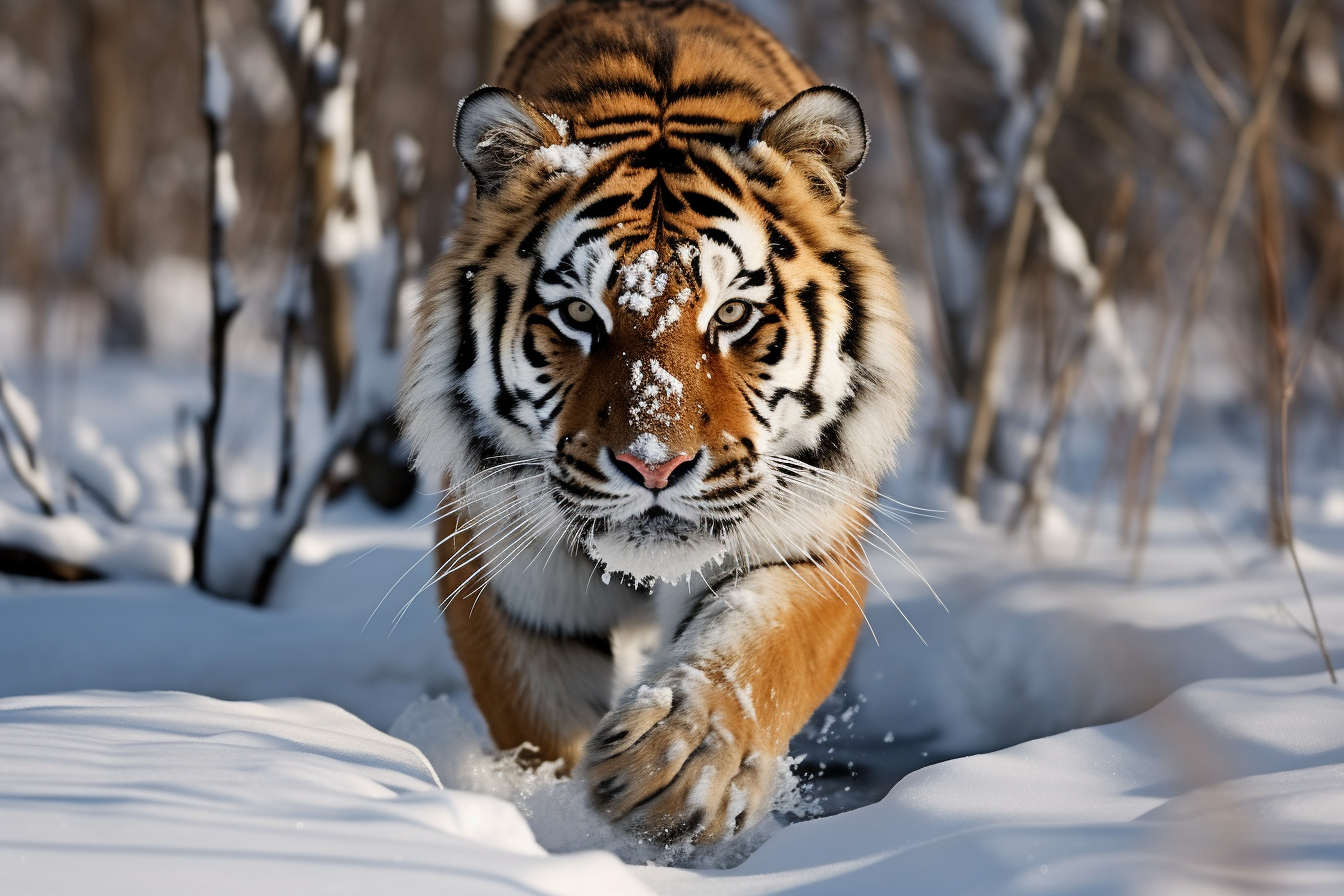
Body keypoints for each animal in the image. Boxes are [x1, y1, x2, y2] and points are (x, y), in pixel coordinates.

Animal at [397, 0, 919, 848]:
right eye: (580, 315)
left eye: (733, 315)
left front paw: (675, 764)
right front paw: (565, 829)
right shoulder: (503, 572)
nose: (653, 467)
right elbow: (542, 725)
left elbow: (753, 654)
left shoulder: (812, 540)